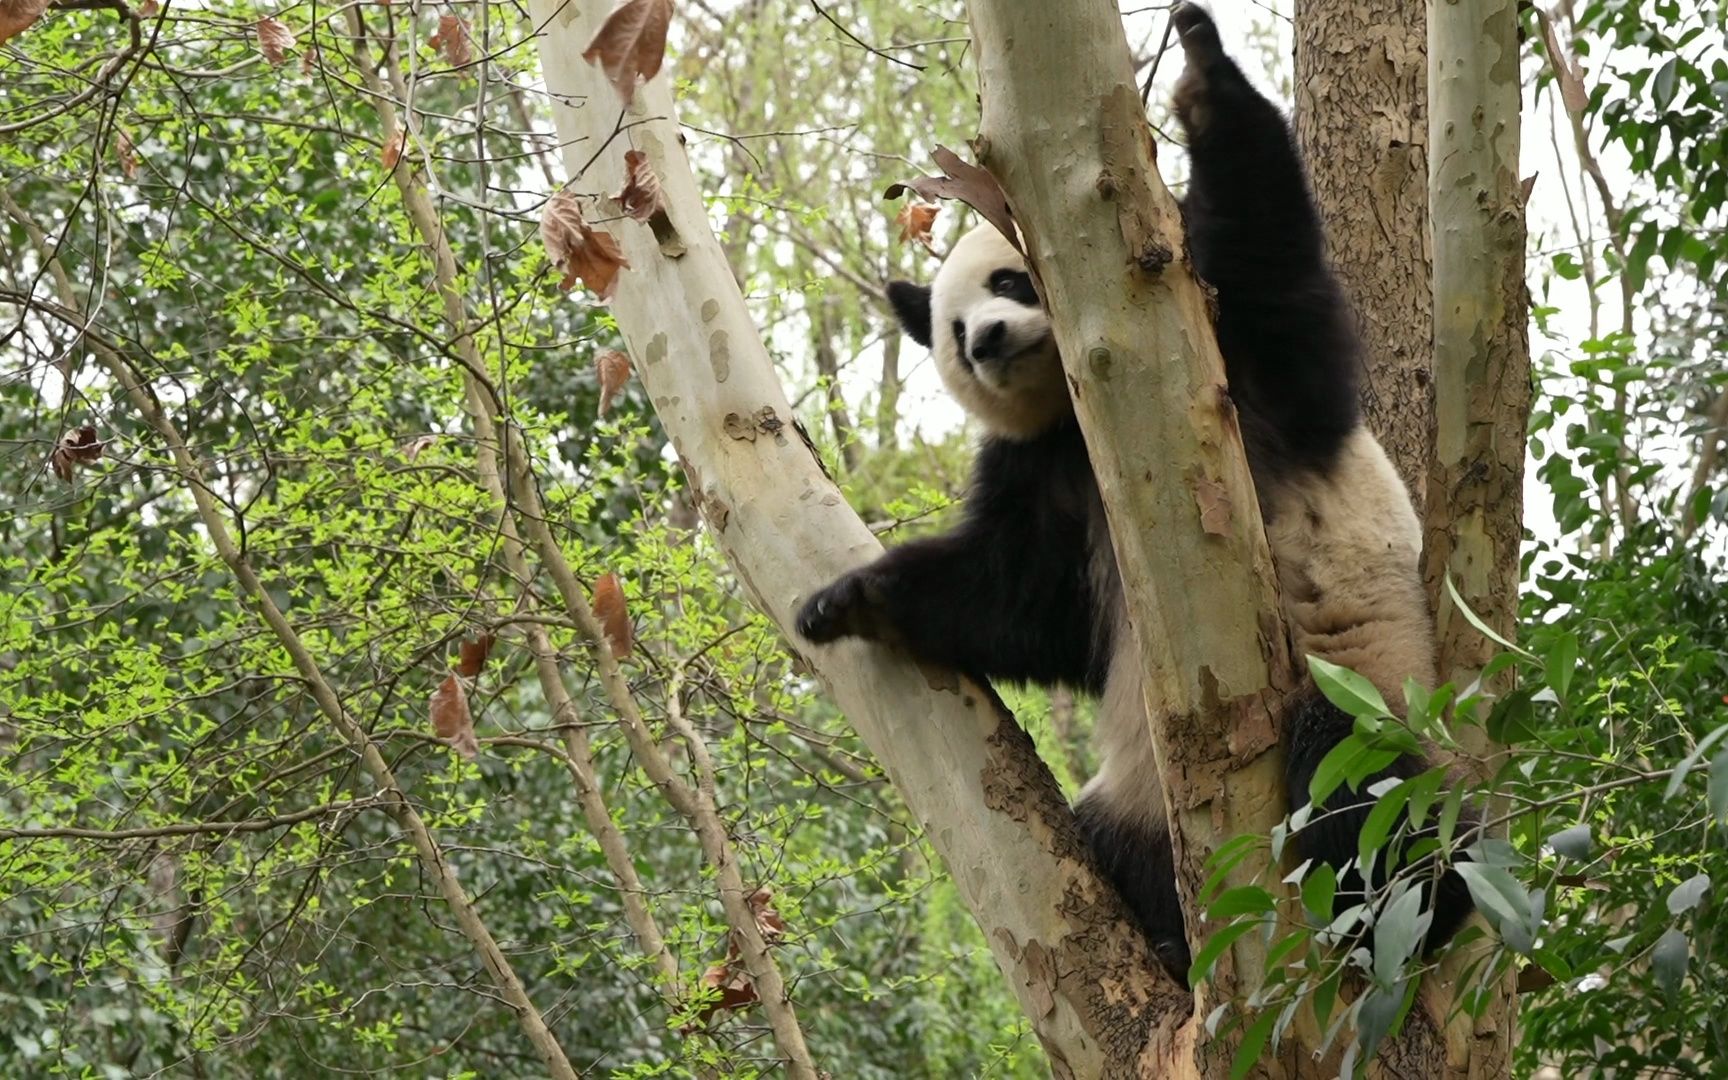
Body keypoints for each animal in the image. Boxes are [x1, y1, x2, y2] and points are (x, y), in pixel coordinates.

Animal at [794, 2, 1472, 988]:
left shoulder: (1253, 363)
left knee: (1355, 783)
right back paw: (1164, 937)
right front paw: (848, 602)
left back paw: (1407, 903)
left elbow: (1271, 258)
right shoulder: (1043, 469)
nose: (989, 341)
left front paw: (1200, 75)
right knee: (1118, 840)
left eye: (1010, 280)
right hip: (1136, 798)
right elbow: (1021, 599)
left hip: (1372, 675)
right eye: (954, 334)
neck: (1085, 419)